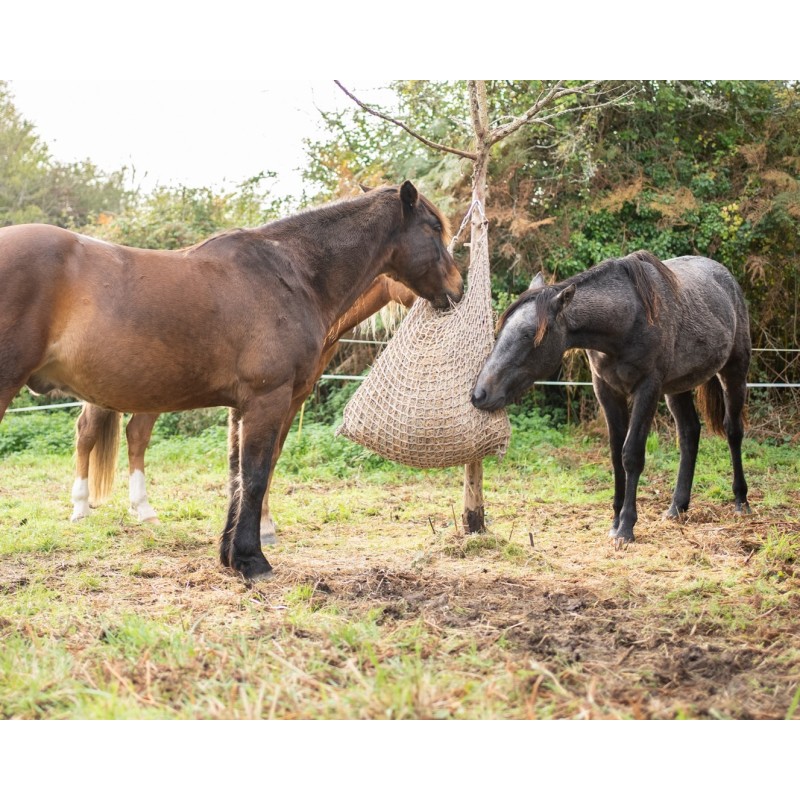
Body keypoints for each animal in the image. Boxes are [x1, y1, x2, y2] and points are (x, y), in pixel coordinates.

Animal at [71, 272, 416, 540]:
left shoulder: (292, 398)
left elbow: (267, 456)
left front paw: (260, 522)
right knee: (87, 433)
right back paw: (80, 509)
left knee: (137, 436)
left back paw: (144, 511)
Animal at [468, 253, 752, 548]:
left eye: (528, 334)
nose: (480, 394)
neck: (628, 321)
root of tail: (725, 276)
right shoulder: (606, 390)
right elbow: (616, 455)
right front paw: (615, 521)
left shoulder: (647, 388)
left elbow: (632, 455)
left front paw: (626, 527)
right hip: (677, 387)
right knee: (689, 434)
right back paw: (677, 507)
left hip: (734, 369)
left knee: (733, 431)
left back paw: (741, 501)